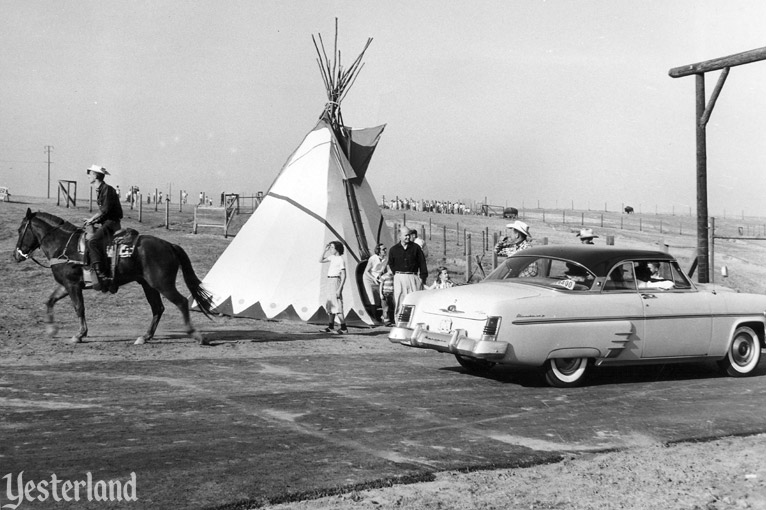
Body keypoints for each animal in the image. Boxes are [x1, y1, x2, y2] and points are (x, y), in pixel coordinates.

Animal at [12, 208, 216, 346]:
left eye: (20, 230)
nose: (16, 255)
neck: (64, 245)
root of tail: (169, 245)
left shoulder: (72, 285)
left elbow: (79, 308)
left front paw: (79, 335)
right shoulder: (66, 285)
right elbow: (50, 301)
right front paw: (51, 329)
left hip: (162, 284)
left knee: (181, 302)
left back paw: (196, 335)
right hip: (148, 285)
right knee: (157, 308)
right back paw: (145, 337)